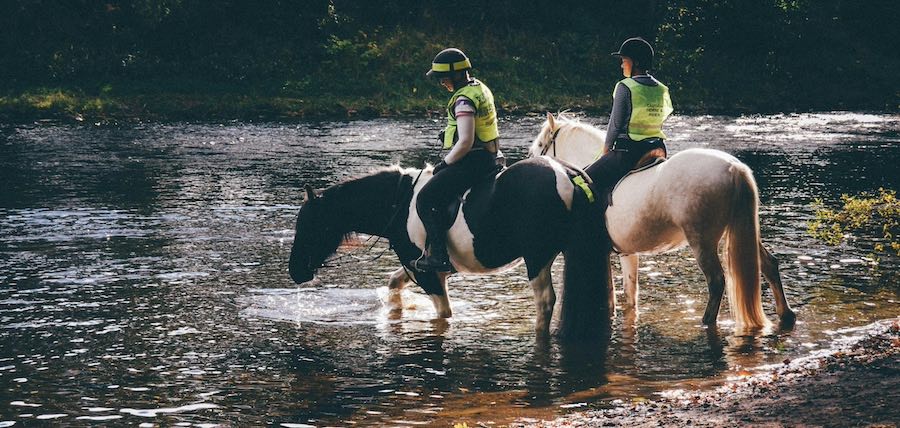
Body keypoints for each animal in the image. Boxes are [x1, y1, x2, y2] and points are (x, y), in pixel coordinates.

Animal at [288, 158, 610, 337]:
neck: (401, 203)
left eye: (308, 225)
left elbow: (443, 314)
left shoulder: (428, 274)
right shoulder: (419, 265)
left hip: (537, 257)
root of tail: (567, 174)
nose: (295, 273)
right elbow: (394, 283)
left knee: (545, 301)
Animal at [528, 112, 796, 332]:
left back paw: (706, 322)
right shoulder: (627, 253)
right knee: (769, 264)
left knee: (716, 281)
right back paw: (786, 314)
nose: (531, 161)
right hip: (741, 231)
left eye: (540, 145)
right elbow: (630, 296)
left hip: (702, 241)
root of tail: (734, 168)